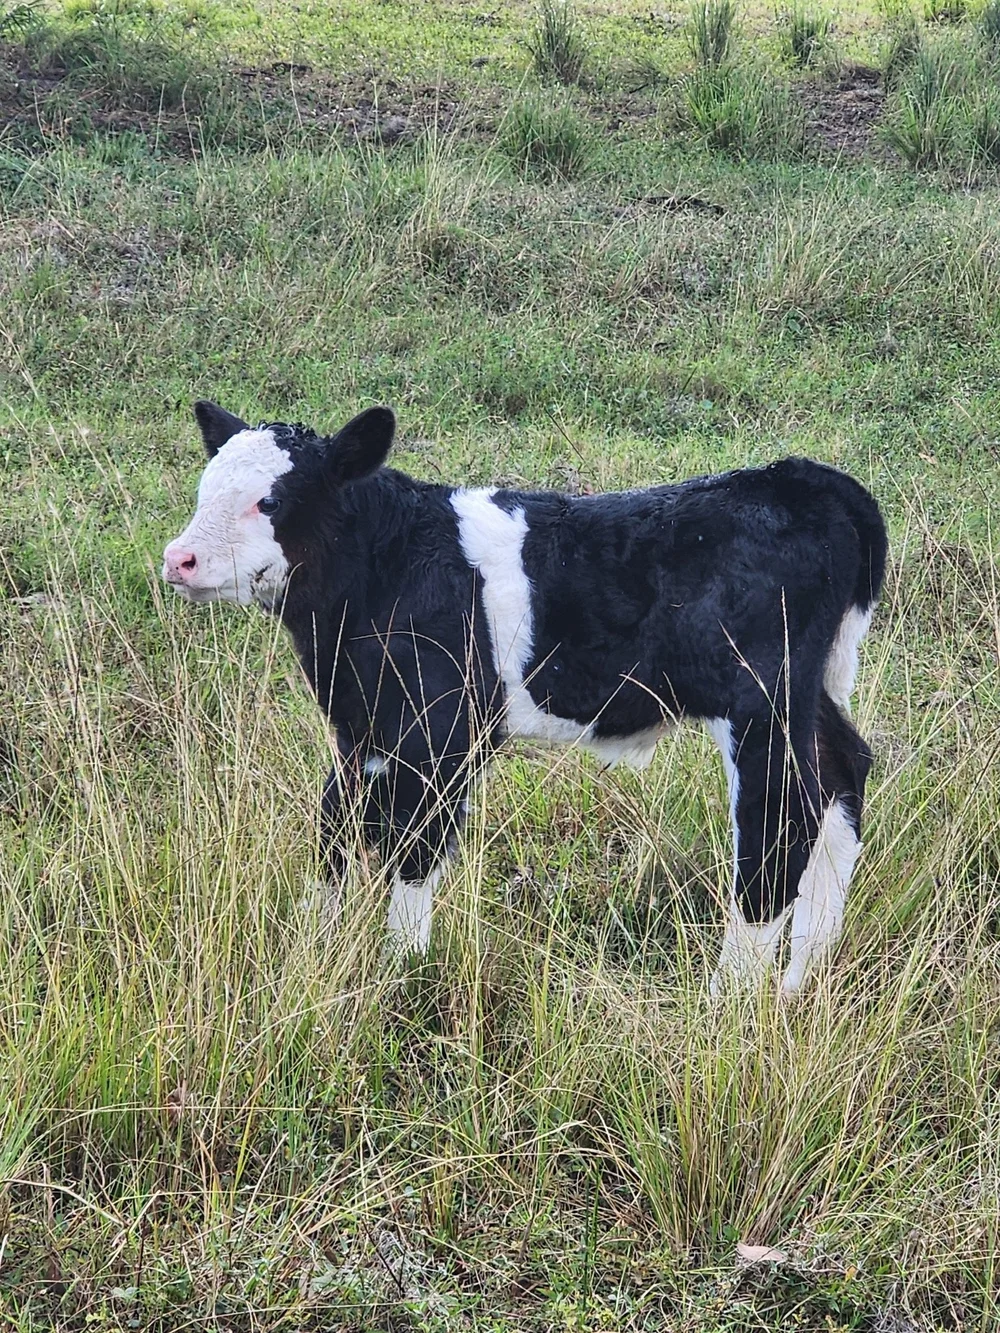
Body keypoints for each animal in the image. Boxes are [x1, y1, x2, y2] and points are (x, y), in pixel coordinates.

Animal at [163, 401, 886, 995]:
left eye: (272, 501)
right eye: (204, 489)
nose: (179, 559)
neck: (390, 566)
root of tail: (798, 477)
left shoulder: (441, 734)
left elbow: (413, 850)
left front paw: (405, 973)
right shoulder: (359, 729)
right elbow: (336, 832)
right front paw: (319, 951)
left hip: (760, 700)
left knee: (781, 823)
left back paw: (728, 998)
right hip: (809, 693)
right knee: (843, 776)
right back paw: (799, 979)